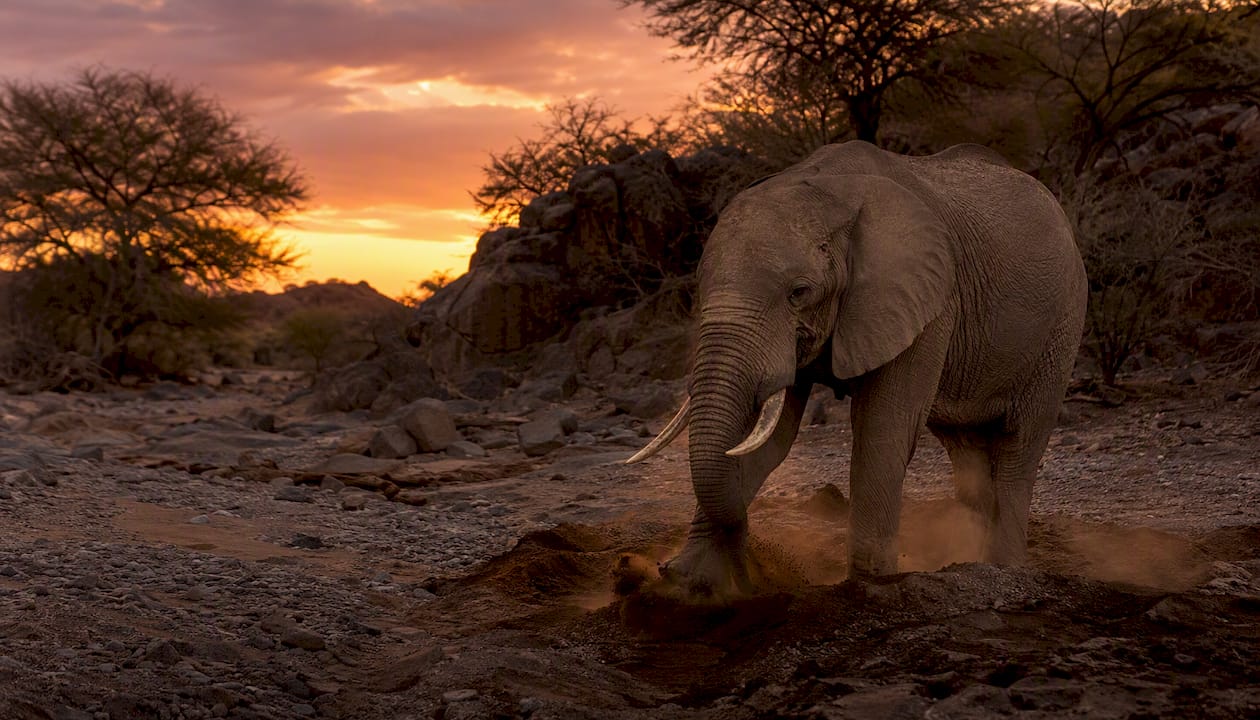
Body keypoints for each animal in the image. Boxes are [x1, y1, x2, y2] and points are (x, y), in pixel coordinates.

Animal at [627, 140, 1087, 596]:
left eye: (799, 292)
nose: (749, 571)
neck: (826, 188)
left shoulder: (928, 302)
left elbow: (882, 428)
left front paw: (871, 583)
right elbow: (765, 439)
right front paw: (688, 580)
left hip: (1060, 329)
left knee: (1018, 446)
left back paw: (1004, 567)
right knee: (968, 452)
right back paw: (970, 561)